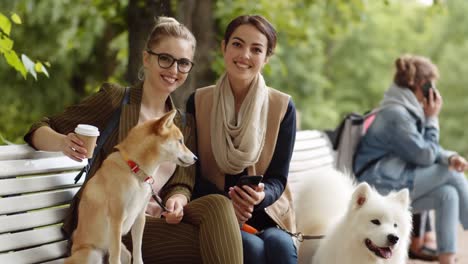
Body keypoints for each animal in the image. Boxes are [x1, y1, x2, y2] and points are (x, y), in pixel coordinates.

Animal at [65, 110, 197, 262]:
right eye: (180, 141)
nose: (196, 158)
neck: (135, 171)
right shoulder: (117, 219)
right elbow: (115, 257)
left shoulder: (140, 217)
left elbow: (138, 250)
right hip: (92, 254)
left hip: (125, 253)